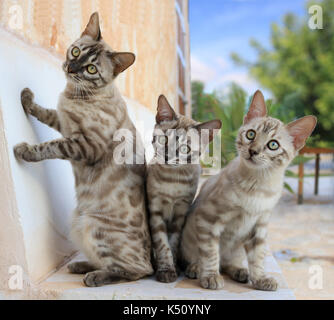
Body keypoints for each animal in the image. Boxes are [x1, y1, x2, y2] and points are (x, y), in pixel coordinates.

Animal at [13, 12, 153, 288]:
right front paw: (26, 99)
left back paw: (94, 276)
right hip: (77, 226)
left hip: (92, 226)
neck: (75, 94)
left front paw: (25, 151)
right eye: (76, 51)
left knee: (136, 270)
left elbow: (49, 146)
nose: (70, 68)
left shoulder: (85, 145)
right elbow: (47, 113)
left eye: (91, 69)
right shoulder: (65, 124)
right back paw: (81, 266)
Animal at [147, 95, 222, 282]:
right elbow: (162, 243)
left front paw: (172, 266)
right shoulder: (155, 211)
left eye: (184, 148)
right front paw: (166, 270)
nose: (167, 157)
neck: (172, 179)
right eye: (164, 139)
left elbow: (173, 242)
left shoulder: (181, 212)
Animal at [180, 89, 316, 290]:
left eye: (273, 145)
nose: (253, 151)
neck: (257, 186)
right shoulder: (208, 219)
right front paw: (211, 276)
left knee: (227, 263)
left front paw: (260, 279)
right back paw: (197, 268)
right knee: (199, 258)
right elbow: (210, 252)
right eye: (251, 134)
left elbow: (257, 257)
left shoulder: (259, 226)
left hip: (237, 248)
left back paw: (240, 271)